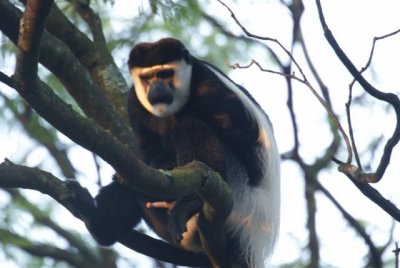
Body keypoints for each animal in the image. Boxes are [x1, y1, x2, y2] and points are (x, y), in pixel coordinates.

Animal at [84, 38, 280, 268]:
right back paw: (97, 223)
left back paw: (190, 203)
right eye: (147, 77)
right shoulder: (135, 101)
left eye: (165, 73)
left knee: (191, 126)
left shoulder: (209, 87)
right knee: (133, 182)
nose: (157, 90)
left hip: (242, 199)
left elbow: (244, 141)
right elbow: (147, 151)